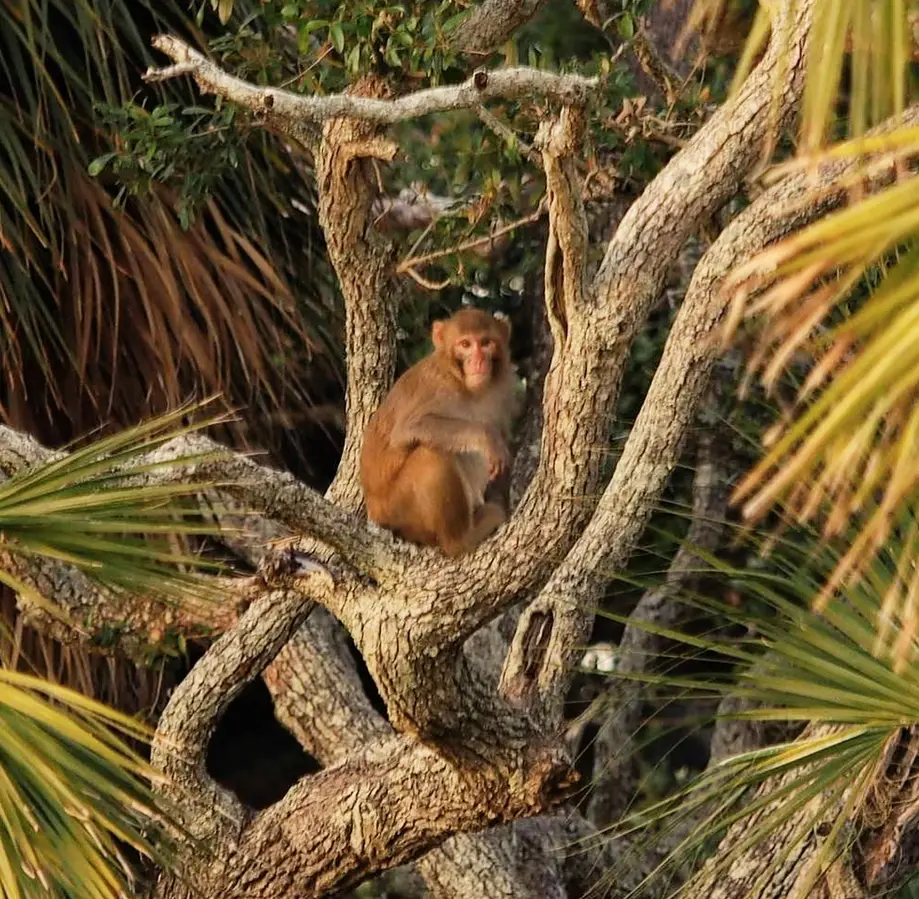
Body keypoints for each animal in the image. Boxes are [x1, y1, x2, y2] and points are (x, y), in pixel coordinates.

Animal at [360, 308, 519, 557]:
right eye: (465, 344)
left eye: (486, 343)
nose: (478, 361)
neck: (467, 388)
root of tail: (373, 510)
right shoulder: (434, 385)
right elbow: (409, 428)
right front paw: (487, 438)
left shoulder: (503, 394)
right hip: (397, 510)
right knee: (430, 455)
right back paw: (461, 539)